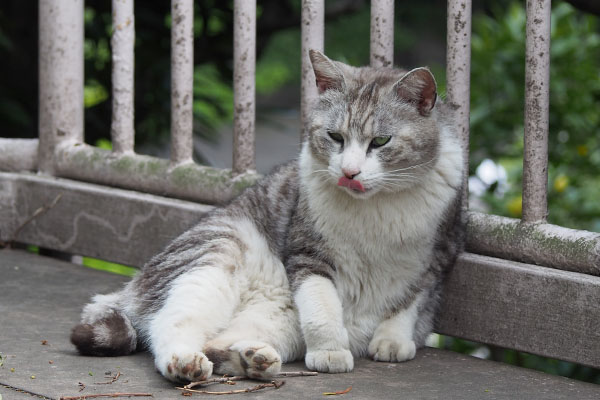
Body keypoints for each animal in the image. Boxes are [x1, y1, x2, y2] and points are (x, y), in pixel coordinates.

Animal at [70, 50, 464, 382]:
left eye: (380, 142)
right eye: (335, 136)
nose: (349, 172)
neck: (376, 207)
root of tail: (130, 287)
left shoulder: (436, 257)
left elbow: (408, 303)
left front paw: (393, 340)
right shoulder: (308, 253)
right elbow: (322, 308)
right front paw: (330, 352)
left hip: (276, 321)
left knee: (218, 342)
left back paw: (252, 358)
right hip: (214, 256)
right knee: (170, 323)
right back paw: (184, 362)